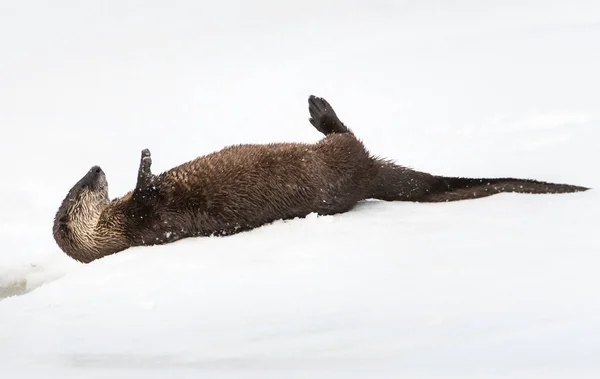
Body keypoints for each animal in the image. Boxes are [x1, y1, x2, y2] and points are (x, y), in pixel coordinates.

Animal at [52, 94, 592, 264]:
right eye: (81, 190)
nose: (96, 168)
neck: (120, 223)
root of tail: (369, 177)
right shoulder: (147, 218)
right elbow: (150, 191)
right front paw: (144, 160)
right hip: (341, 162)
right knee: (348, 137)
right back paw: (322, 112)